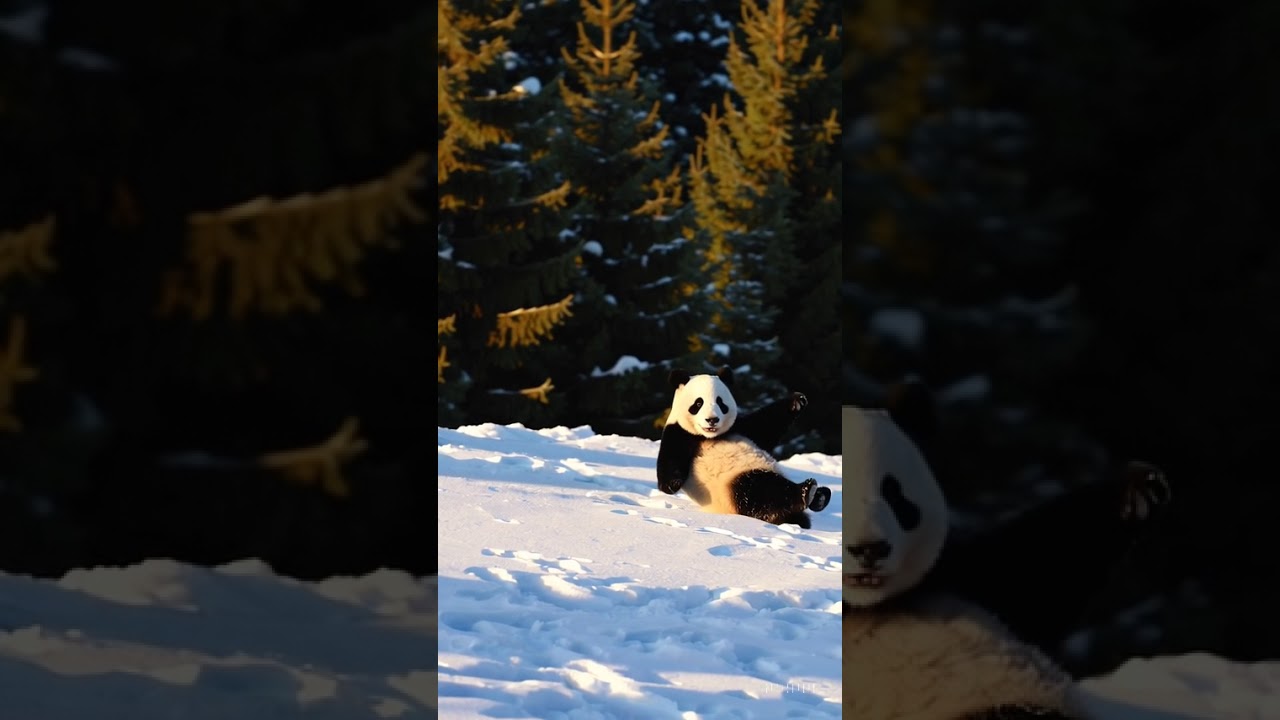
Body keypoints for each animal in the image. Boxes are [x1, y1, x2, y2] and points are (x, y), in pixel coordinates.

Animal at [656, 367, 832, 529]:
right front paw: (673, 484)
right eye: (698, 403)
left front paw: (797, 401)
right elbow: (669, 467)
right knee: (761, 491)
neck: (708, 436)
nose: (712, 419)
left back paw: (820, 496)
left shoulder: (740, 427)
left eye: (720, 403)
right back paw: (807, 492)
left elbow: (767, 424)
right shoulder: (679, 433)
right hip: (732, 487)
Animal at [843, 380, 1171, 720]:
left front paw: (1139, 492)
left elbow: (1037, 569)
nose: (870, 549)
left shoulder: (952, 576)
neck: (866, 606)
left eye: (894, 495)